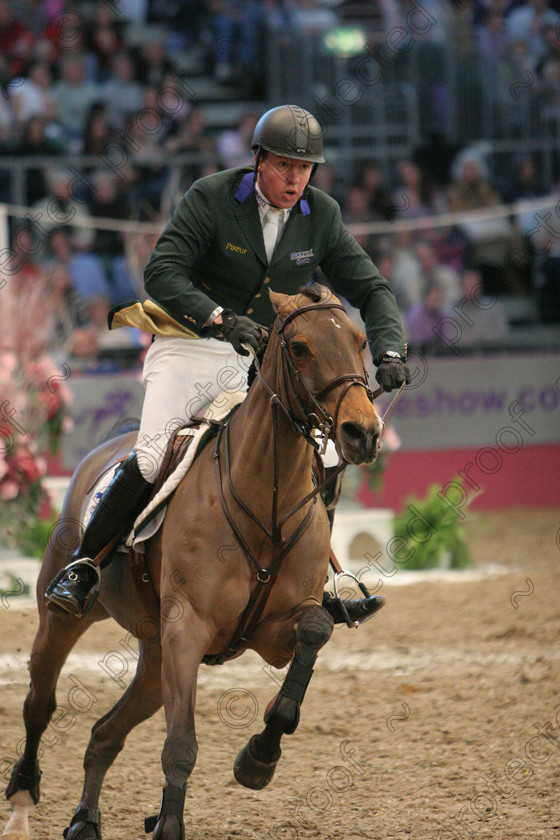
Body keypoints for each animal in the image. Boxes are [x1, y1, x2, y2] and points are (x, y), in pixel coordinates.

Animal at [1, 284, 384, 840]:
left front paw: (259, 758)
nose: (364, 433)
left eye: (360, 341)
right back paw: (22, 801)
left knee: (104, 734)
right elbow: (179, 747)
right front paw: (169, 821)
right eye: (299, 349)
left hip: (155, 654)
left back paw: (86, 820)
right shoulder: (187, 627)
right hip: (66, 620)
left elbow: (314, 629)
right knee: (40, 704)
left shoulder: (271, 632)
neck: (265, 499)